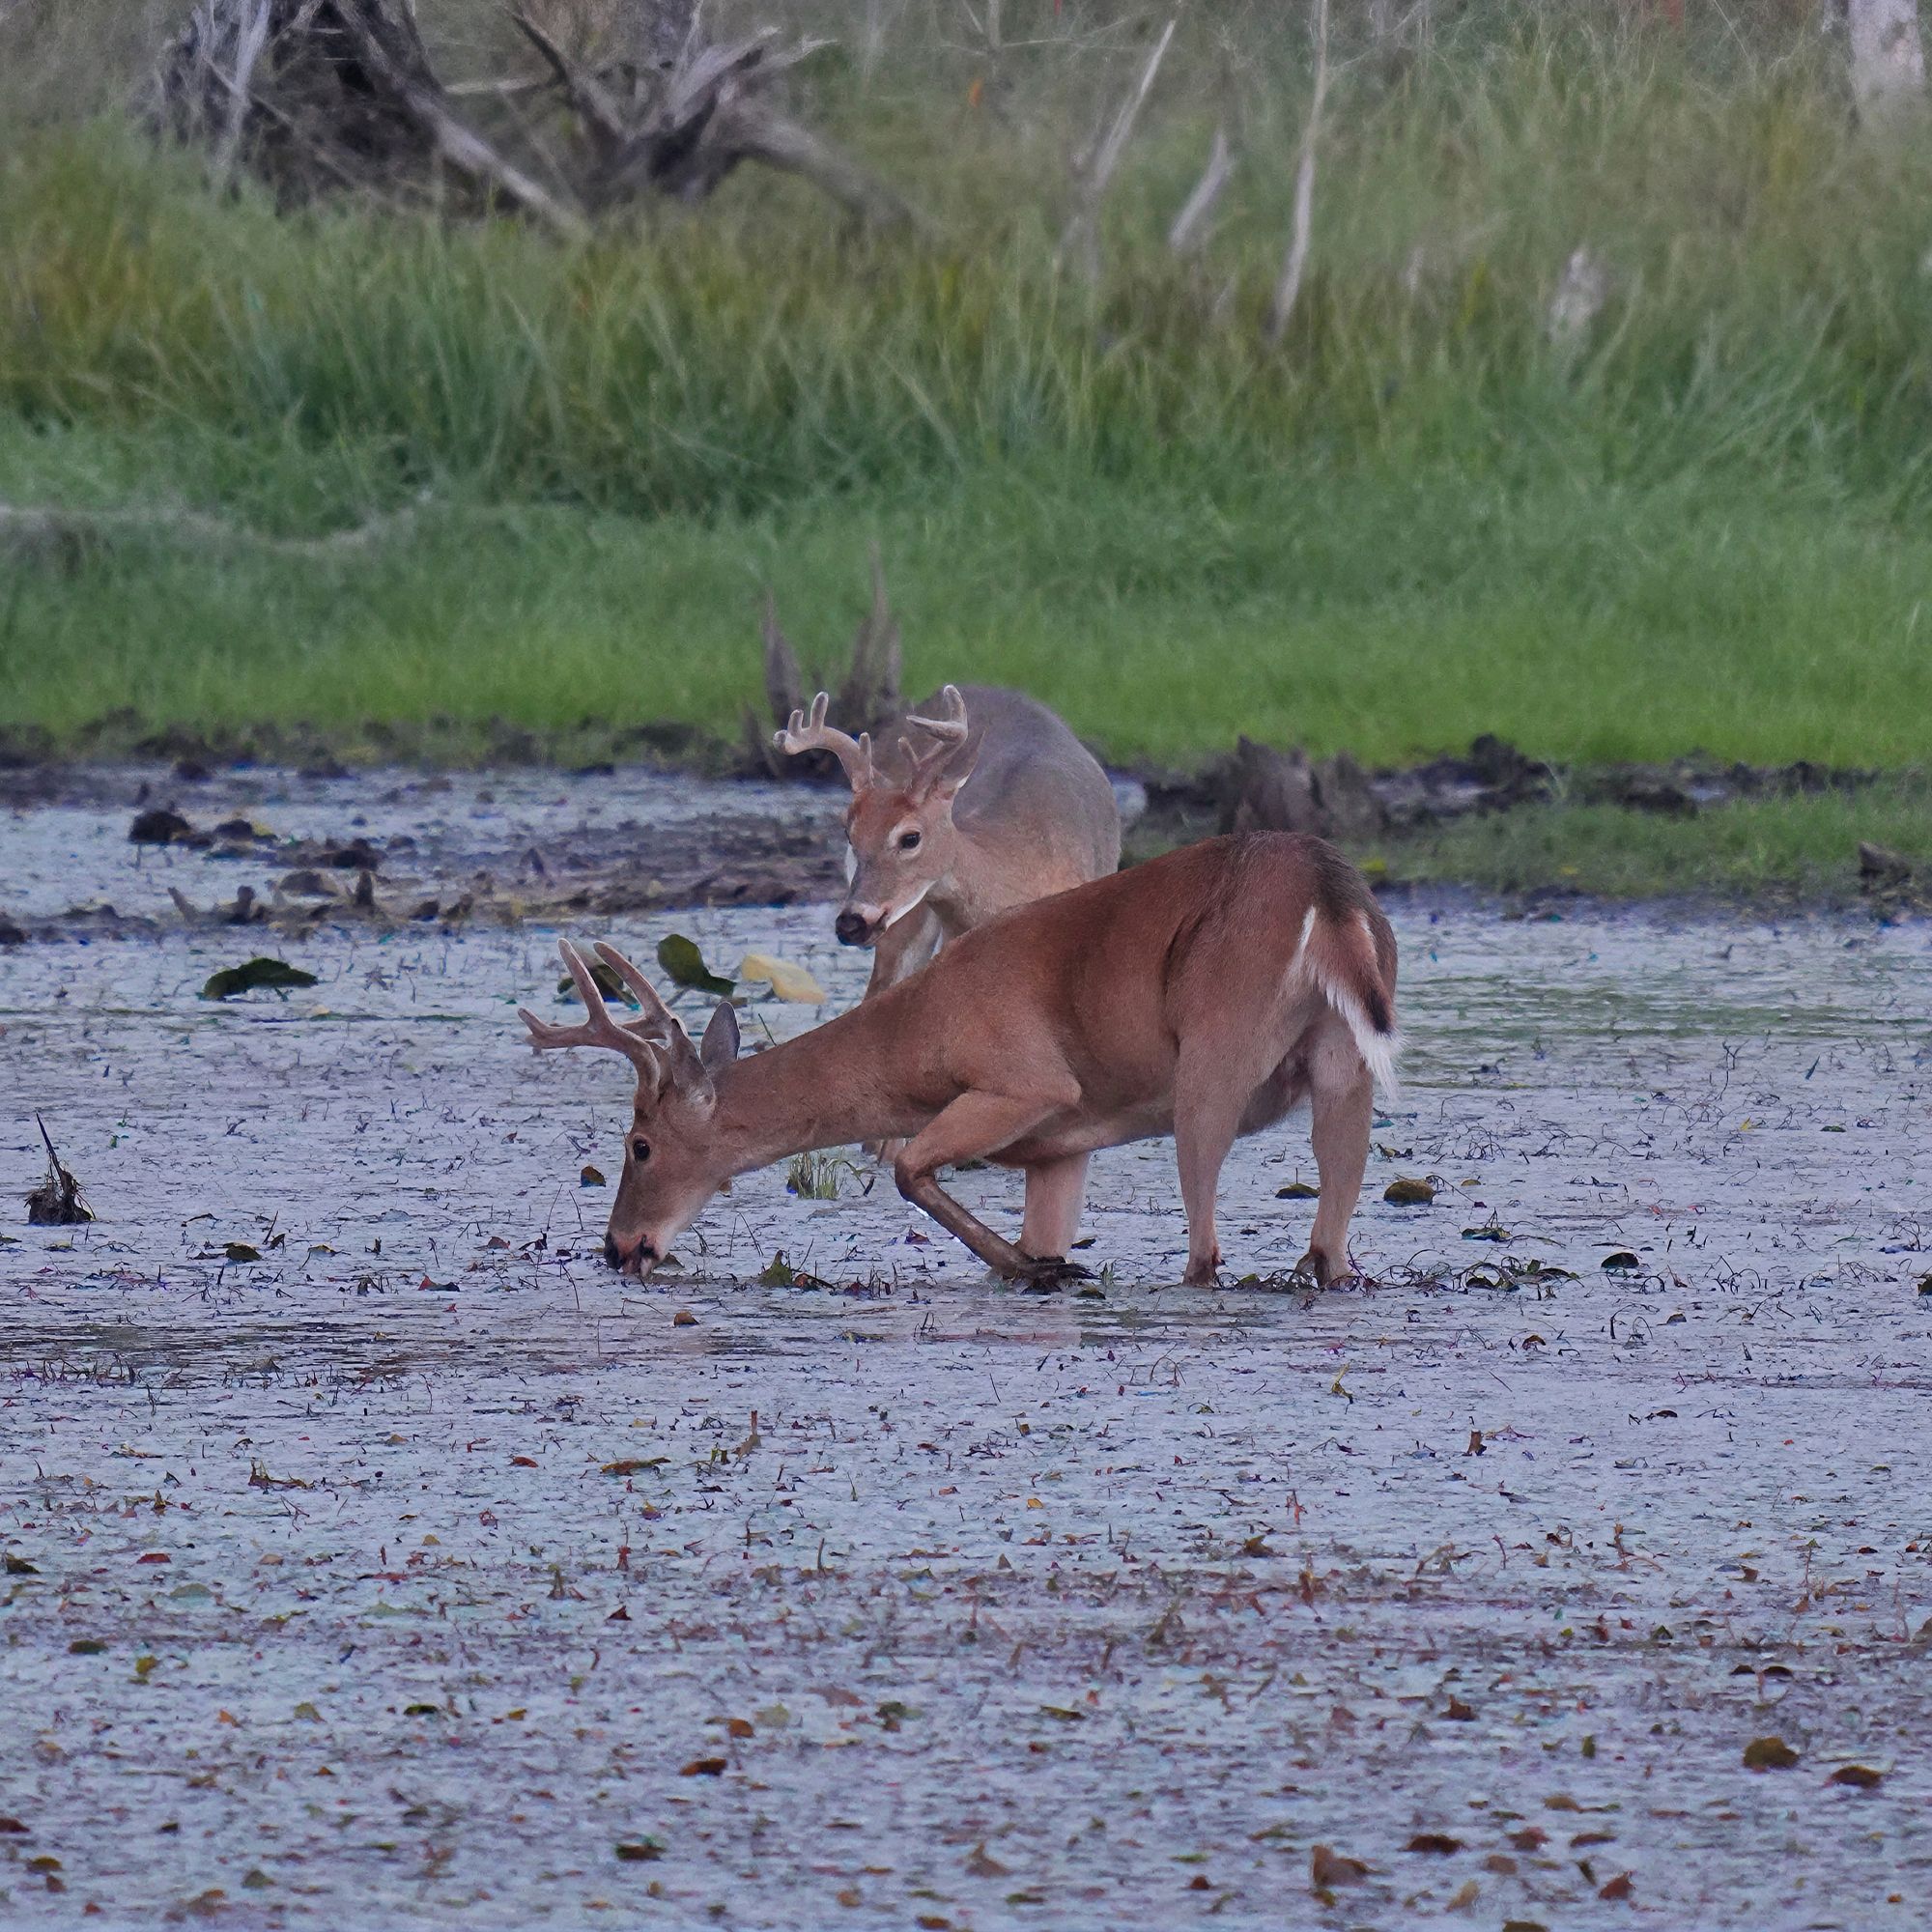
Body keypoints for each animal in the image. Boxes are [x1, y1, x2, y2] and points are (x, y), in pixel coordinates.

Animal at [516, 830, 1399, 1291]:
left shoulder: (1027, 1080)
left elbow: (910, 1170)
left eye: (639, 1145)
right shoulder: (1062, 1147)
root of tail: (1328, 889)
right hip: (1345, 1062)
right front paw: (1044, 1267)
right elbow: (1044, 1225)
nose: (619, 1247)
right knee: (1332, 1239)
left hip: (1213, 1050)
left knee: (1207, 1248)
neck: (914, 1046)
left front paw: (1038, 1272)